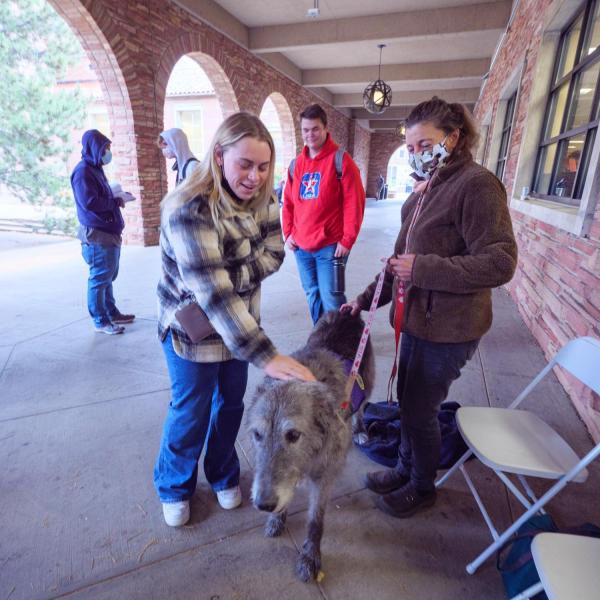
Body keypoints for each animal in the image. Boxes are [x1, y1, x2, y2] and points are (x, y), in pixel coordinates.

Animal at [246, 310, 372, 580]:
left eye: (293, 435)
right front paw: (277, 519)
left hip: (367, 383)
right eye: (258, 435)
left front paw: (310, 557)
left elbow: (316, 521)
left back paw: (360, 430)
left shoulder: (323, 477)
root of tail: (347, 311)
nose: (263, 504)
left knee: (363, 406)